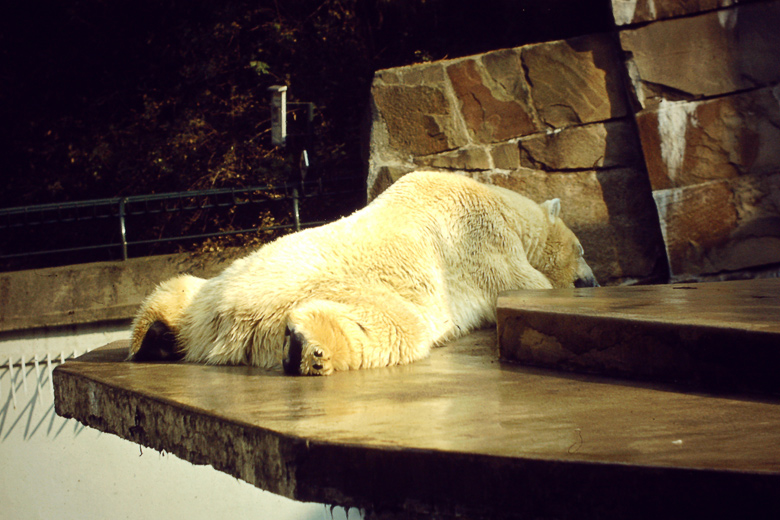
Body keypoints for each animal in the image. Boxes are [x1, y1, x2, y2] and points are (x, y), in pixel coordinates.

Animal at [131, 173, 600, 376]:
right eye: (582, 250)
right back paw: (309, 348)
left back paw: (152, 338)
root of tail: (224, 317)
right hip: (339, 292)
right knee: (397, 326)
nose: (593, 281)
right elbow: (527, 283)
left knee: (175, 289)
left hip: (210, 286)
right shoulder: (485, 245)